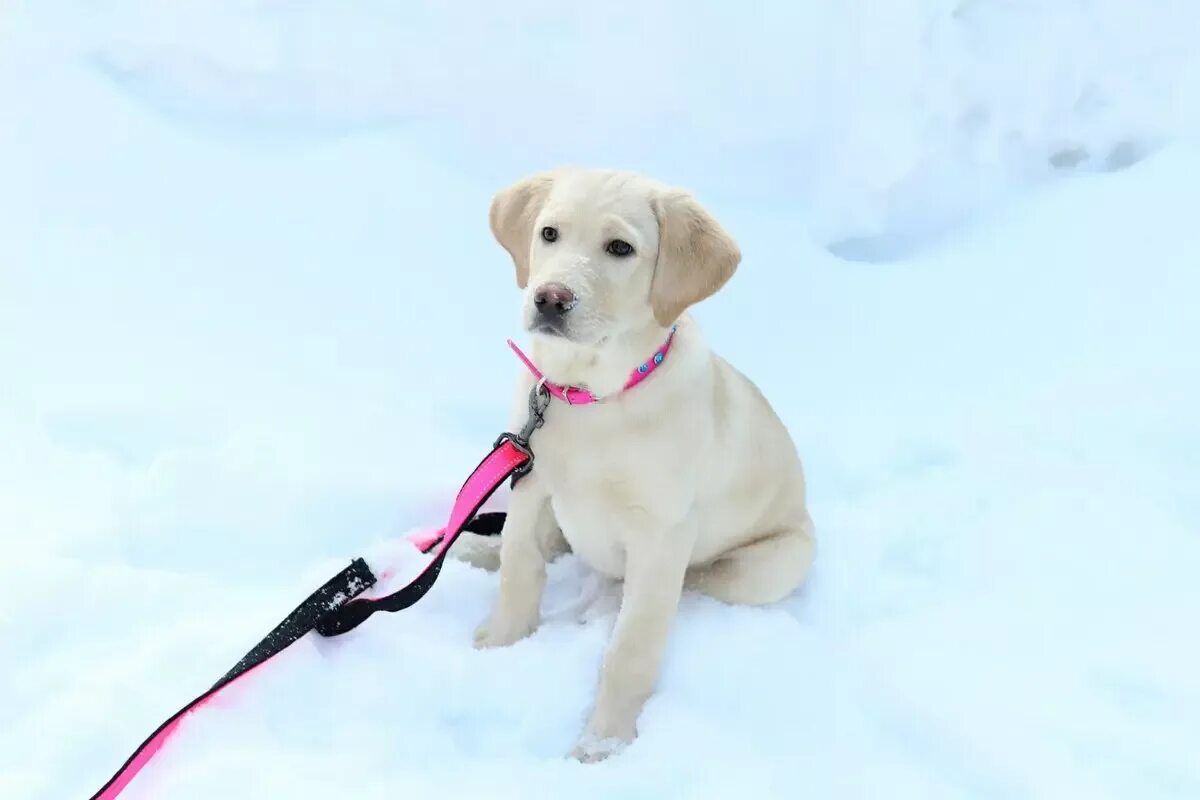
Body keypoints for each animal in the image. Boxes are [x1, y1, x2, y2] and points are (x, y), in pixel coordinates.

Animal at [468, 165, 816, 762]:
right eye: (549, 233)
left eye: (619, 248)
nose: (550, 298)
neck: (591, 397)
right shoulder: (531, 483)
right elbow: (521, 565)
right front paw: (503, 643)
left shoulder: (662, 534)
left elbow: (632, 648)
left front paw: (603, 742)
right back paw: (473, 548)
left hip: (764, 568)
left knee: (681, 587)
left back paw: (608, 603)